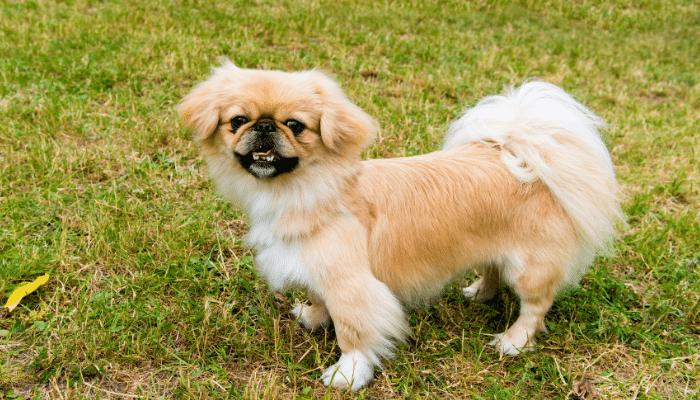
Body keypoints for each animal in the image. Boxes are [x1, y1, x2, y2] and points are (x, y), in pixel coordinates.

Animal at [178, 60, 620, 390]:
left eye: (296, 125)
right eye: (238, 120)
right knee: (492, 270)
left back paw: (513, 341)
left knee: (535, 306)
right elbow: (320, 299)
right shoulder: (316, 267)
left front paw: (347, 374)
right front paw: (314, 317)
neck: (306, 190)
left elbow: (353, 332)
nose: (265, 126)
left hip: (529, 268)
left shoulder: (352, 284)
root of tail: (521, 155)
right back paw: (480, 294)